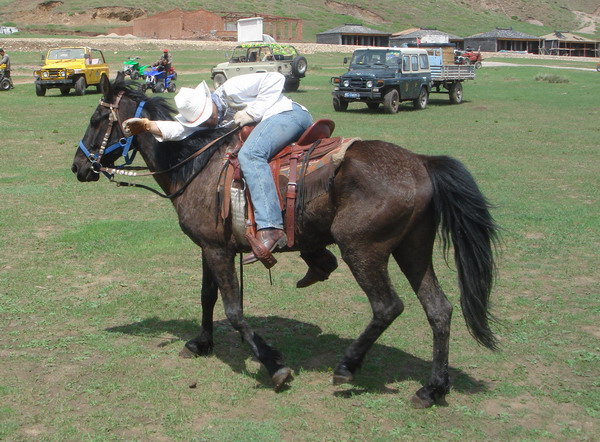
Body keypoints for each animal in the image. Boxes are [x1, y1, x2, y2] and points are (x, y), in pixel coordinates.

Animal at [72, 74, 500, 410]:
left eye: (95, 119)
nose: (78, 167)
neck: (195, 165)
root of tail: (422, 163)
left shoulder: (218, 251)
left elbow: (234, 310)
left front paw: (274, 365)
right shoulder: (211, 247)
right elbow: (207, 296)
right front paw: (200, 343)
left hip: (363, 249)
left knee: (387, 307)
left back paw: (347, 367)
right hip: (412, 250)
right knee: (439, 310)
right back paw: (432, 388)